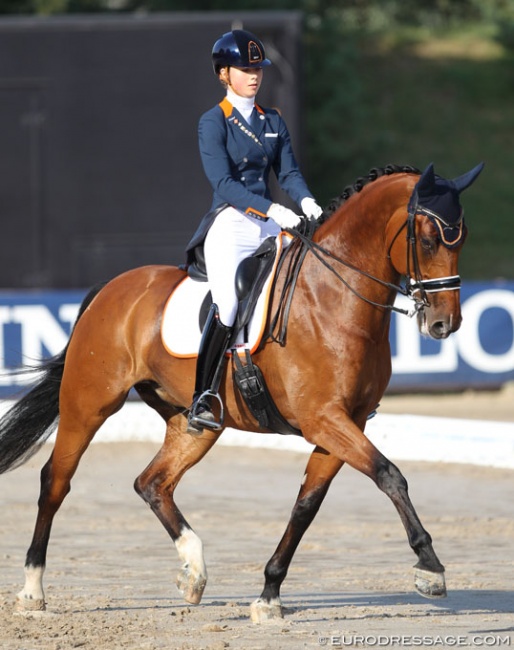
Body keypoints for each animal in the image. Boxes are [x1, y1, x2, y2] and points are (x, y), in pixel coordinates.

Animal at [0, 161, 480, 616]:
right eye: (429, 240)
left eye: (461, 240)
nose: (445, 324)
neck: (333, 297)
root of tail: (110, 288)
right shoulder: (324, 419)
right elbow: (389, 475)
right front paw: (430, 568)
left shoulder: (346, 421)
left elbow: (307, 504)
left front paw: (269, 594)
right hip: (89, 403)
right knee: (55, 481)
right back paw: (32, 591)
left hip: (194, 422)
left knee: (153, 482)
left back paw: (193, 571)